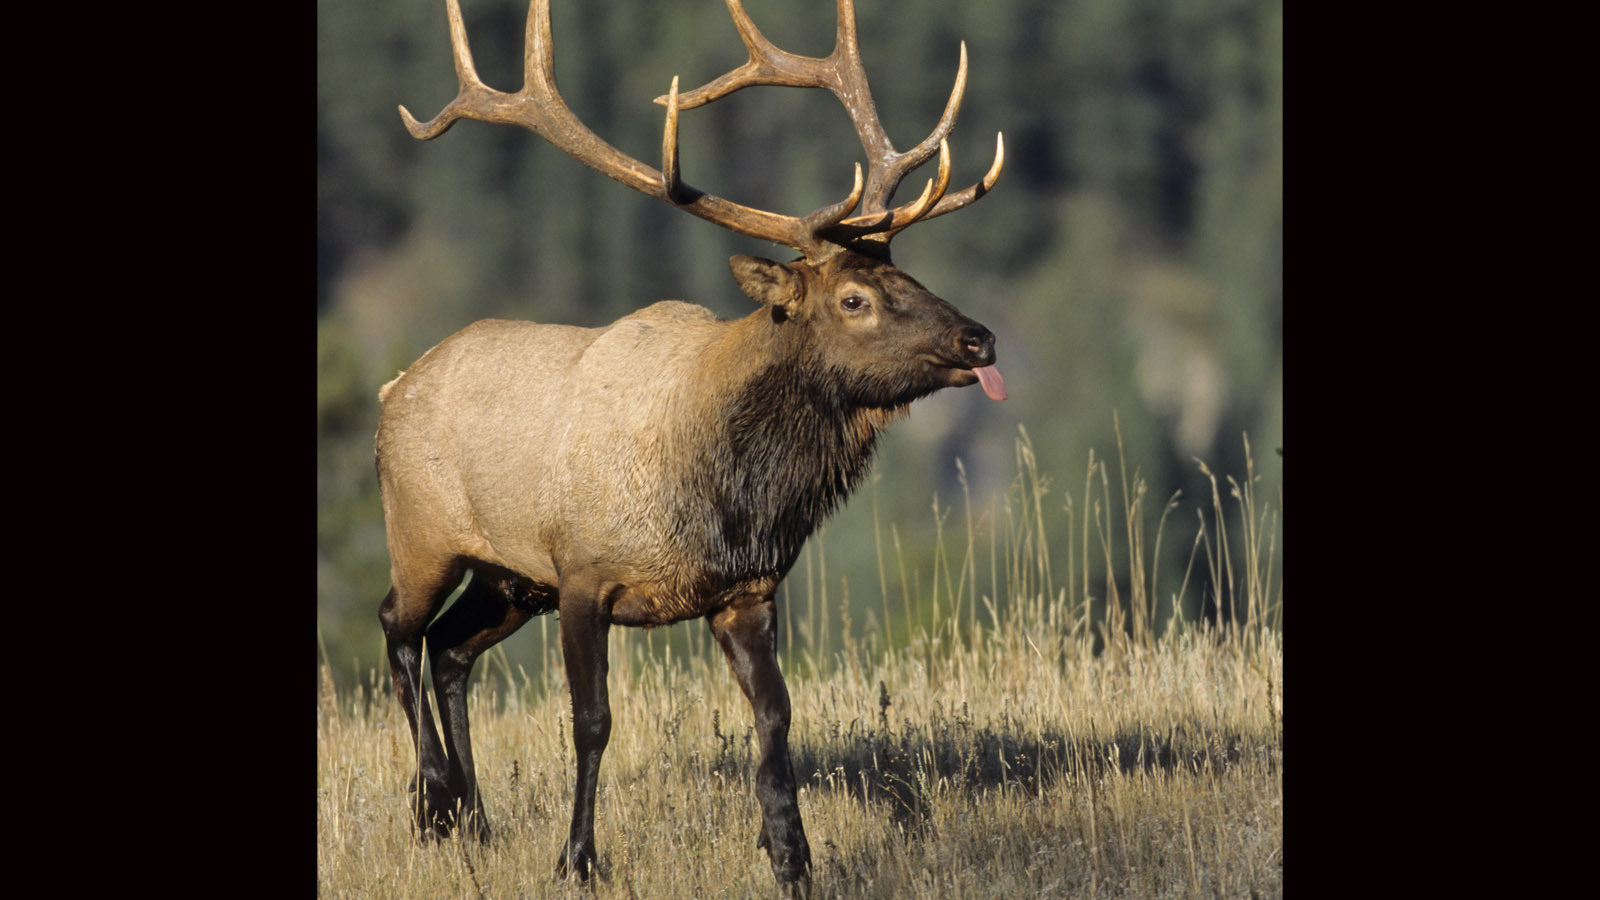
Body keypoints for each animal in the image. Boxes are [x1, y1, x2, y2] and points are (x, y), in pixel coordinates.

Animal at [380, 0, 1005, 895]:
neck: (725, 494)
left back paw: (475, 817)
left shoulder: (746, 589)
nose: (979, 338)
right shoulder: (584, 571)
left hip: (510, 578)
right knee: (398, 627)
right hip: (425, 533)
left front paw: (792, 856)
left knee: (449, 648)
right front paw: (578, 859)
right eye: (854, 298)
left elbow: (776, 713)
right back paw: (431, 803)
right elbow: (592, 720)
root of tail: (395, 387)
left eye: (909, 277)